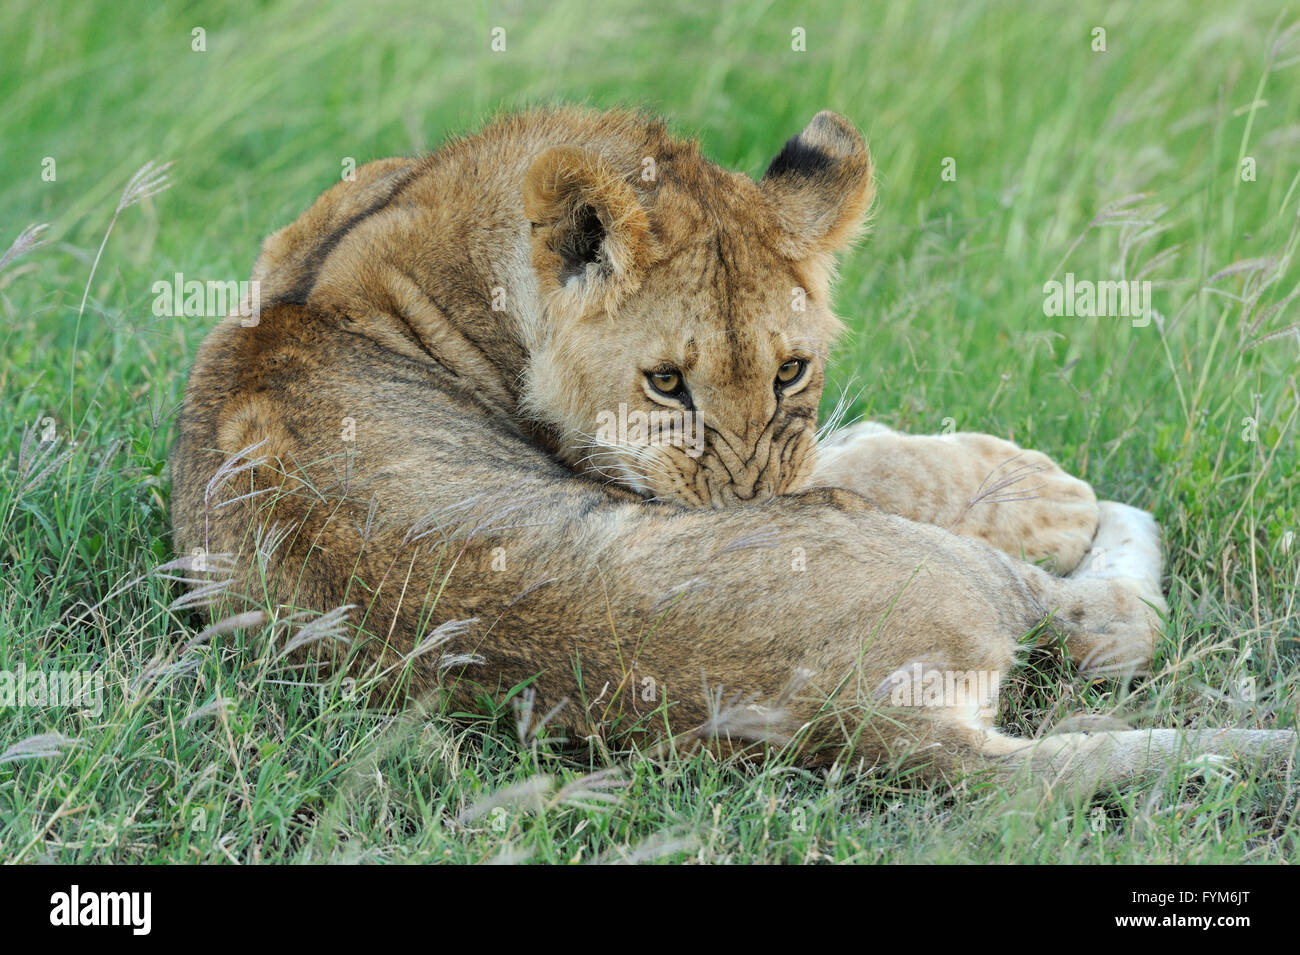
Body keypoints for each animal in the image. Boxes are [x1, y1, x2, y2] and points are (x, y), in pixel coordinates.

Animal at [171, 106, 1295, 797]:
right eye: (667, 383)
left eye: (792, 370)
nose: (748, 507)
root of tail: (870, 725)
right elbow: (869, 459)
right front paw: (1042, 489)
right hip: (947, 568)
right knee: (1112, 625)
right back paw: (1109, 518)